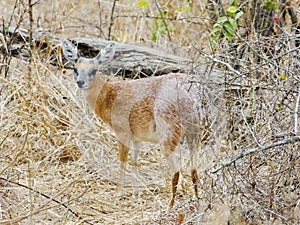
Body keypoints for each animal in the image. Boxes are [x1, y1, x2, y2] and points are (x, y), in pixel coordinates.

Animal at [62, 40, 207, 206]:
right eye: (75, 68)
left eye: (94, 69)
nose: (80, 82)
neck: (108, 96)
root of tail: (191, 93)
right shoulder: (137, 137)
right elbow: (135, 161)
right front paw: (135, 193)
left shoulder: (122, 130)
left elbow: (123, 160)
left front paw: (119, 192)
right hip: (196, 132)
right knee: (194, 169)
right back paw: (197, 200)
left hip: (169, 132)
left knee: (177, 170)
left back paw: (170, 206)